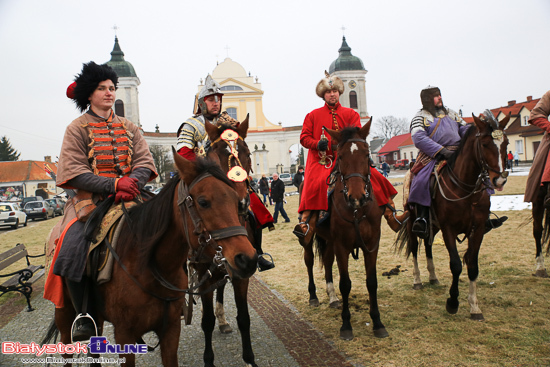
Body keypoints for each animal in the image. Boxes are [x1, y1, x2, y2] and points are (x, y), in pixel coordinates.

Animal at [48, 152, 258, 366]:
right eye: (203, 202)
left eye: (236, 202)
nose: (247, 259)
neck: (149, 266)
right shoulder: (124, 335)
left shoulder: (170, 330)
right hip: (64, 313)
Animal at [314, 121, 388, 342]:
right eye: (341, 156)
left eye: (366, 153)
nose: (357, 197)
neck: (357, 211)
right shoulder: (342, 247)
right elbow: (345, 284)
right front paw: (346, 325)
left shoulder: (371, 245)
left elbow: (372, 282)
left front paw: (377, 322)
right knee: (309, 262)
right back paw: (314, 296)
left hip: (329, 242)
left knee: (327, 262)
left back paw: (332, 298)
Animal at [396, 113, 512, 320]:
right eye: (484, 144)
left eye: (505, 143)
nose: (499, 180)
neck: (466, 191)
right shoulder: (449, 229)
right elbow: (456, 265)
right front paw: (452, 302)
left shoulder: (477, 230)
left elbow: (472, 265)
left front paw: (474, 306)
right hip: (412, 222)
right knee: (414, 248)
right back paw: (418, 280)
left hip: (433, 225)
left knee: (428, 245)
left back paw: (433, 277)